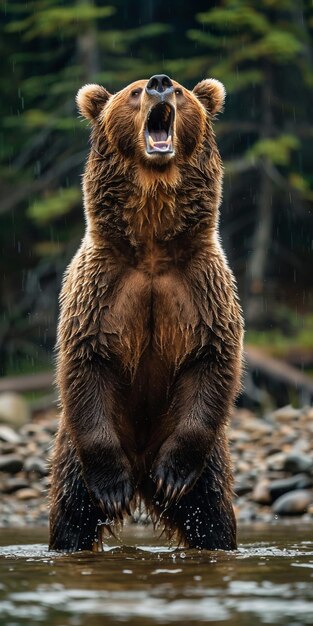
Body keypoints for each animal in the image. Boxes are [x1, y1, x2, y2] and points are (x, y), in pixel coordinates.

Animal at [49, 74, 244, 552]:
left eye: (182, 92)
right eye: (134, 91)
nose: (160, 82)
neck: (153, 246)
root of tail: (141, 470)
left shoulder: (203, 286)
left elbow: (214, 356)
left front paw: (171, 477)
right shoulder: (99, 288)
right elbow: (83, 358)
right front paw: (111, 488)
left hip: (208, 463)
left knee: (211, 517)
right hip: (72, 453)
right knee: (72, 515)